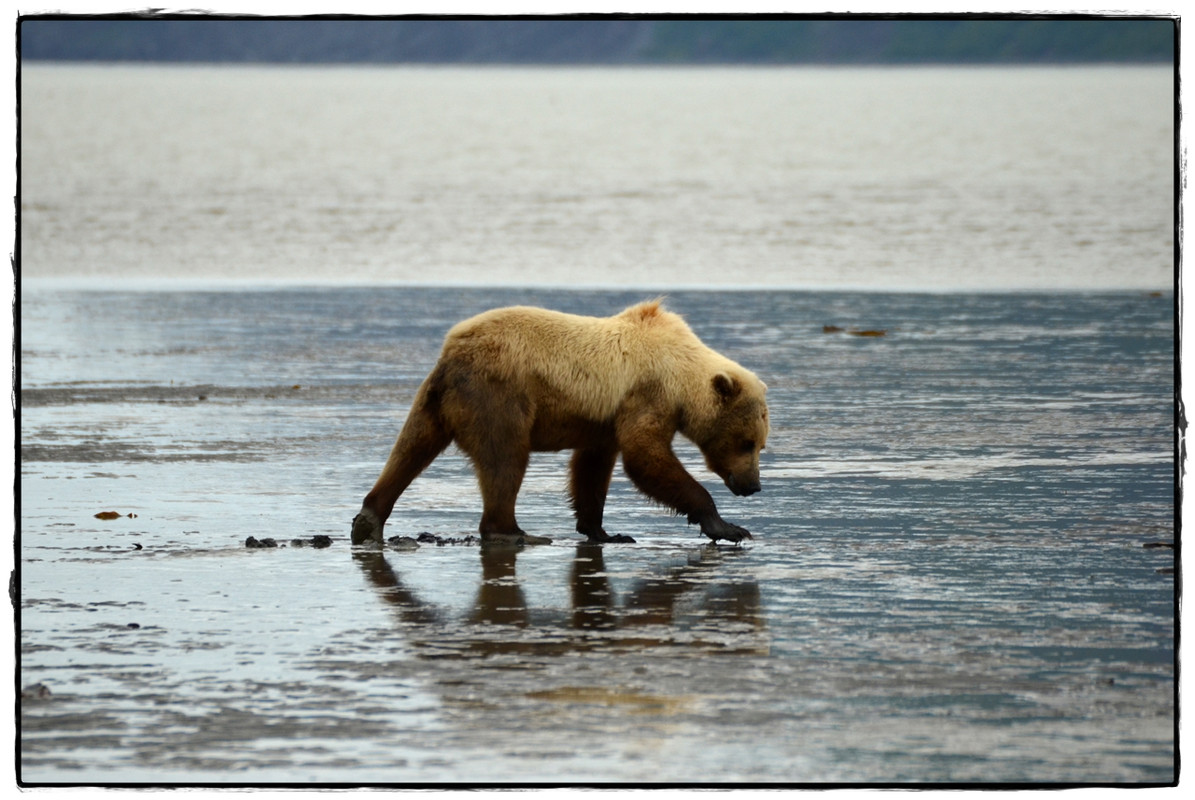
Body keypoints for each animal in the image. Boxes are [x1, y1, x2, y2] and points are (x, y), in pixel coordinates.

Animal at [348, 296, 769, 545]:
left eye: (761, 444)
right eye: (747, 442)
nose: (753, 485)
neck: (682, 375)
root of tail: (452, 354)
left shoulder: (605, 418)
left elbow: (592, 468)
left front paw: (604, 530)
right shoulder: (648, 395)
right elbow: (645, 456)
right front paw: (727, 526)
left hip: (435, 399)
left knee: (411, 447)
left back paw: (368, 518)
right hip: (499, 395)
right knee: (505, 459)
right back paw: (514, 532)